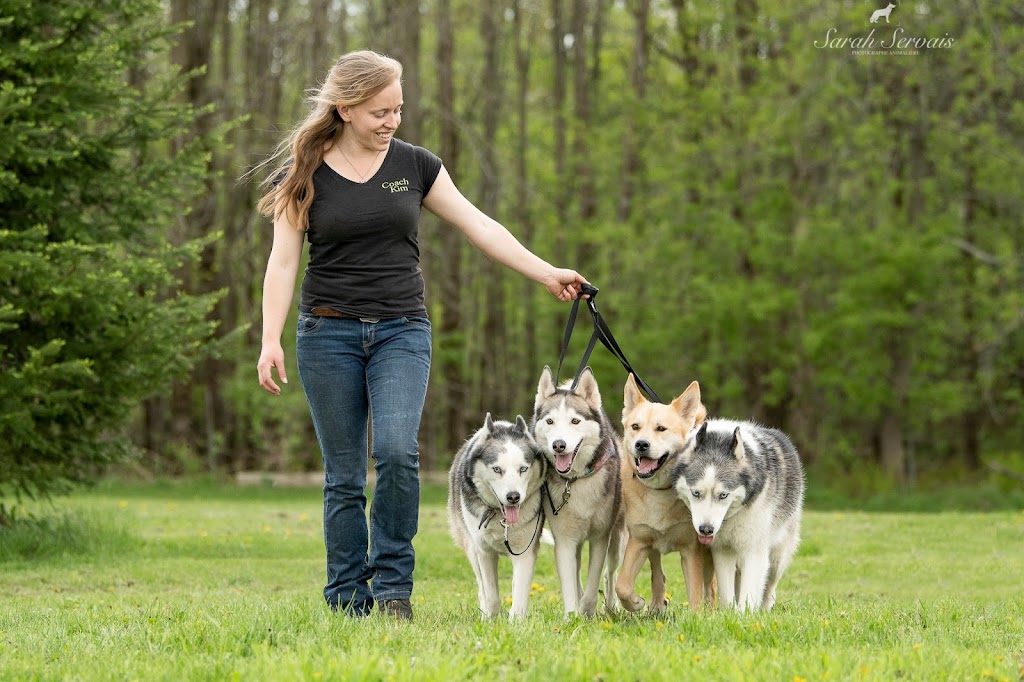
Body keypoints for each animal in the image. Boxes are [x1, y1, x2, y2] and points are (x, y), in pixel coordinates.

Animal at [444, 411, 548, 618]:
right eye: (497, 469)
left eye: (523, 469)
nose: (513, 497)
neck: (502, 520)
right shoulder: (483, 551)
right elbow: (490, 593)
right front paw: (490, 618)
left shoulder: (525, 550)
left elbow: (520, 590)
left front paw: (516, 620)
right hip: (470, 545)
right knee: (481, 585)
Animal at [532, 366, 626, 614]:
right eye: (550, 421)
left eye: (575, 421)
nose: (559, 445)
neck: (575, 479)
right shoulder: (565, 540)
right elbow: (569, 584)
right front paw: (573, 615)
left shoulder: (601, 537)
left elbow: (594, 582)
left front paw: (588, 610)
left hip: (618, 536)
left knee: (611, 572)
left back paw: (611, 607)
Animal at [610, 374, 716, 614]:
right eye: (635, 426)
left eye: (661, 429)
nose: (641, 444)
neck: (660, 491)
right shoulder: (639, 541)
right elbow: (622, 585)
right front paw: (635, 603)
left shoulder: (692, 549)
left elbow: (695, 590)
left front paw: (698, 616)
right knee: (657, 571)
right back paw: (657, 604)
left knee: (710, 584)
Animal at [671, 419, 806, 610]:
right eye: (696, 493)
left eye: (723, 495)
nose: (706, 530)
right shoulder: (722, 551)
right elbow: (727, 594)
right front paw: (729, 613)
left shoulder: (754, 551)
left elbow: (749, 594)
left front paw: (744, 614)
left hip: (777, 559)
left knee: (770, 588)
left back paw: (766, 609)